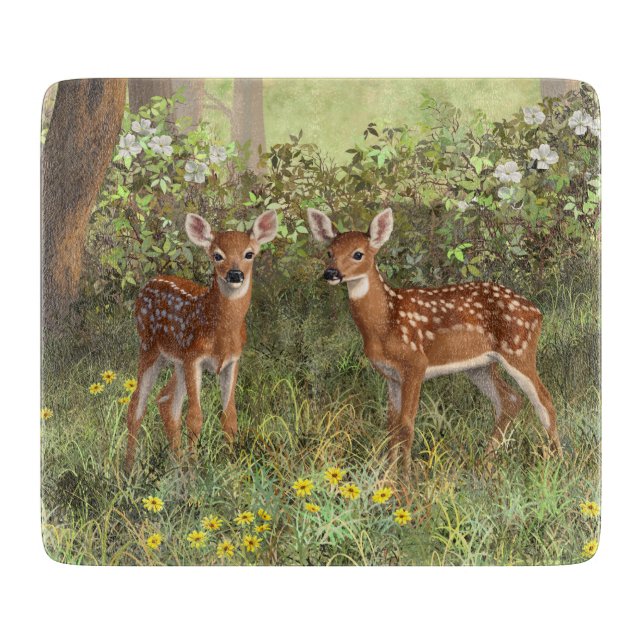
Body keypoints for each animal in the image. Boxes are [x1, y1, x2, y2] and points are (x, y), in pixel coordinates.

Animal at [124, 210, 278, 474]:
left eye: (249, 254)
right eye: (217, 255)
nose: (235, 274)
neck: (220, 333)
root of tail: (148, 283)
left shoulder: (232, 361)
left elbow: (229, 416)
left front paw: (231, 464)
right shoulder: (194, 358)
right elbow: (195, 417)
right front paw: (195, 469)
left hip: (176, 360)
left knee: (166, 401)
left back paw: (175, 464)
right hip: (149, 347)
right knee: (136, 404)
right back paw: (128, 470)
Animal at [307, 207, 562, 476]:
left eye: (358, 253)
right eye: (329, 252)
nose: (331, 273)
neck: (386, 322)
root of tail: (537, 312)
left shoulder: (415, 363)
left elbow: (406, 424)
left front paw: (405, 479)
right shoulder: (390, 375)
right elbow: (391, 426)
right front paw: (387, 476)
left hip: (519, 350)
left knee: (545, 401)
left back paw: (559, 461)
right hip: (479, 366)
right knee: (510, 400)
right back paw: (484, 463)